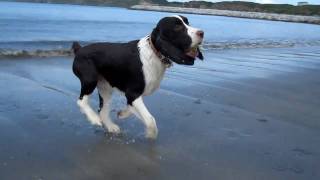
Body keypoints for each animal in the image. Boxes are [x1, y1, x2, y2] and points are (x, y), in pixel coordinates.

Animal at [71, 15, 204, 139]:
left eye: (187, 22)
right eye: (177, 26)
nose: (201, 33)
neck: (154, 53)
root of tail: (80, 50)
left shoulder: (133, 96)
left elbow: (132, 108)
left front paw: (122, 113)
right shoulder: (133, 93)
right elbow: (150, 120)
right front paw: (150, 135)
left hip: (105, 88)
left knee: (102, 111)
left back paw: (111, 127)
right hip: (90, 79)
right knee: (81, 101)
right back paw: (94, 119)